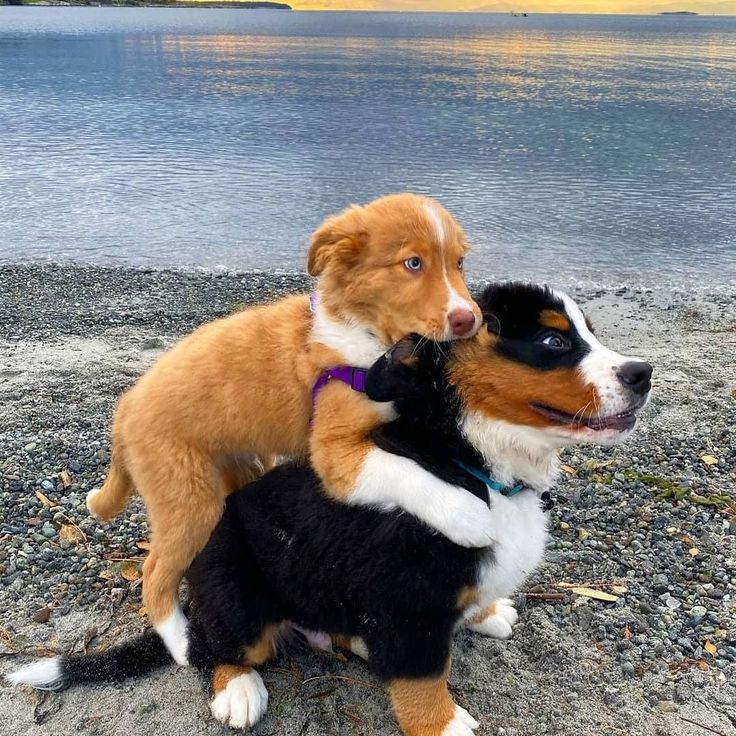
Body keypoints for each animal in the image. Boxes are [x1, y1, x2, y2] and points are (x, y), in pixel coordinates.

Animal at [87, 193, 494, 664]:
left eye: (460, 262)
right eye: (412, 263)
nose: (469, 320)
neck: (370, 340)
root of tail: (124, 410)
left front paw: (488, 612)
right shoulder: (334, 454)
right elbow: (408, 474)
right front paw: (469, 516)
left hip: (238, 468)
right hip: (188, 499)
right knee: (154, 575)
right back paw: (182, 643)